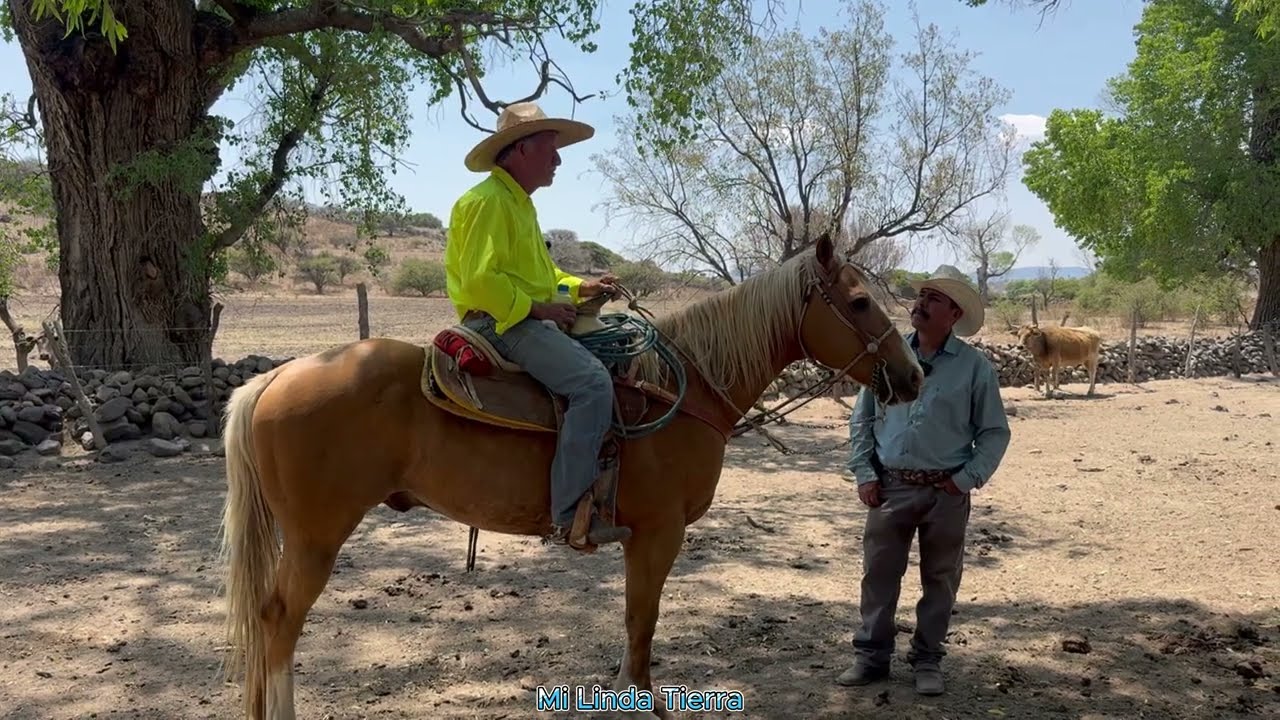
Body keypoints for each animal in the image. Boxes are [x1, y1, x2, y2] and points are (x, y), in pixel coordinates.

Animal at [217, 234, 925, 719]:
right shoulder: (658, 534)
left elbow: (634, 624)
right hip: (315, 538)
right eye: (860, 301)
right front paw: (643, 703)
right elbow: (642, 623)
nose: (913, 374)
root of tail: (275, 377)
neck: (682, 389)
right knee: (277, 623)